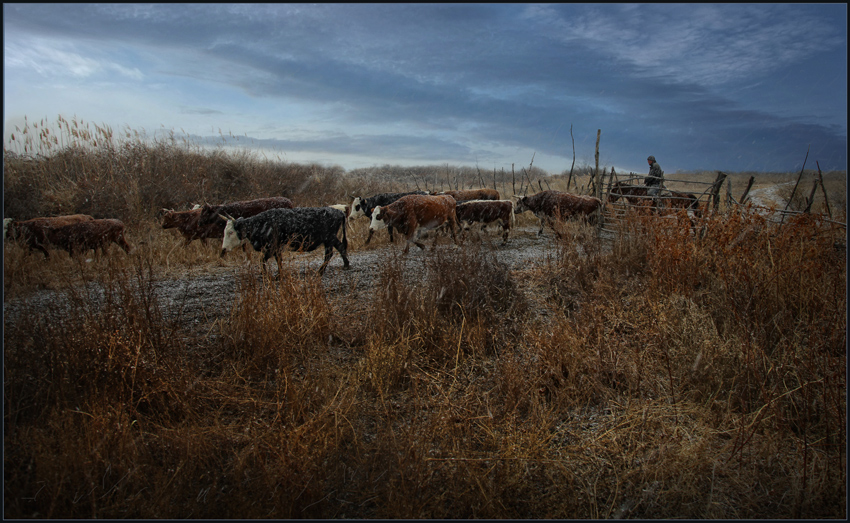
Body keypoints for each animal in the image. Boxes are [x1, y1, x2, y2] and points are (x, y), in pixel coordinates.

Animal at [222, 207, 352, 276]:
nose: (223, 249)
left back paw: (320, 271)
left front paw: (266, 274)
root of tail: (338, 211)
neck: (262, 223)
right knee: (340, 247)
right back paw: (345, 265)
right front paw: (279, 274)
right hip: (331, 239)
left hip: (329, 239)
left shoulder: (271, 247)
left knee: (330, 254)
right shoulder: (277, 248)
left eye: (231, 232)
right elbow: (278, 260)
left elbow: (263, 259)